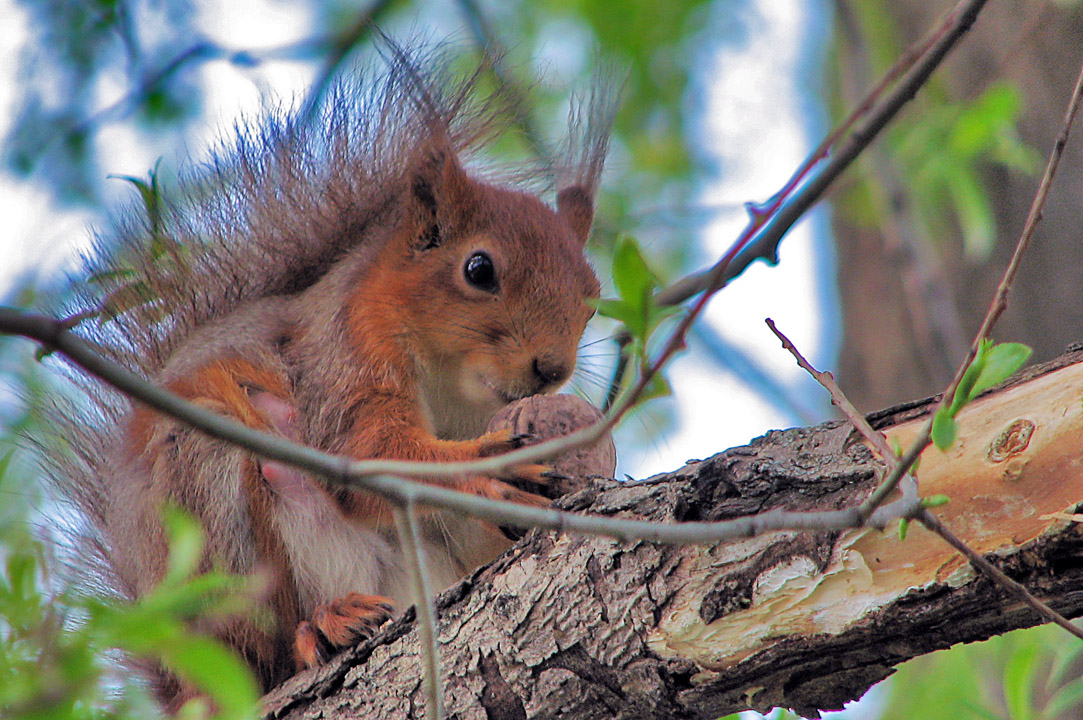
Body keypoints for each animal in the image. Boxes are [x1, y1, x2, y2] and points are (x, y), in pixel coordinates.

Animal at [48, 39, 619, 705]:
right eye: (479, 269)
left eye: (592, 297)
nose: (551, 369)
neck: (457, 388)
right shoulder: (344, 357)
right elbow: (367, 452)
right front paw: (487, 466)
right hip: (208, 511)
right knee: (262, 655)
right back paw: (318, 628)